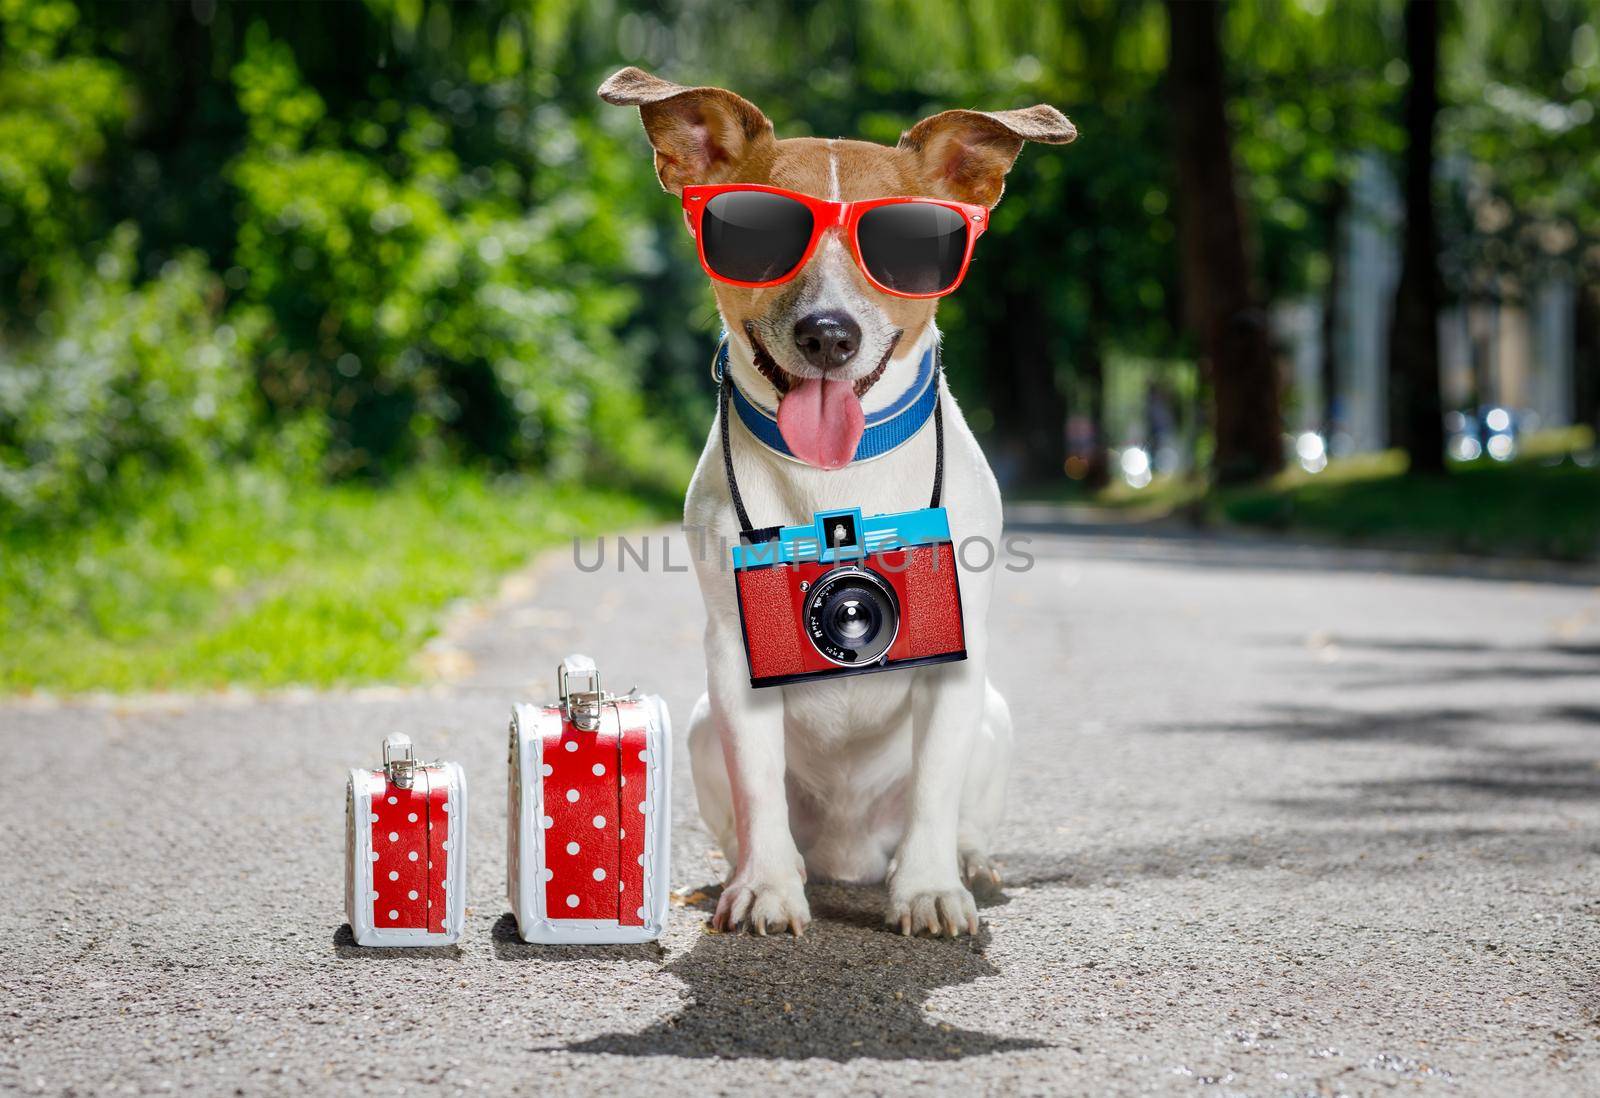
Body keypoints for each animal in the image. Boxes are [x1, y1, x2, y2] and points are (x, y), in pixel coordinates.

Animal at [601, 66, 1075, 934]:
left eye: (906, 246)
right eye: (756, 235)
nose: (828, 333)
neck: (837, 476)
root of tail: (849, 856)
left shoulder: (958, 655)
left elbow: (934, 789)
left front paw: (929, 889)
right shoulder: (735, 652)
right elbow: (757, 784)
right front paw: (764, 890)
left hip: (993, 715)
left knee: (959, 812)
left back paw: (969, 863)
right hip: (700, 723)